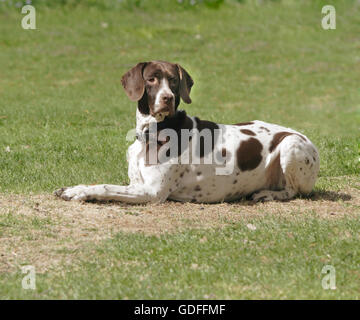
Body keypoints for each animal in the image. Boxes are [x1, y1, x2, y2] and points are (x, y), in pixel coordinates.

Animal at [54, 60, 320, 204]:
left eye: (173, 80)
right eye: (151, 79)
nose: (167, 98)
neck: (152, 132)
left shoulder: (151, 192)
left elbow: (105, 188)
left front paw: (79, 193)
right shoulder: (136, 183)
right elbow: (103, 183)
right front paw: (73, 189)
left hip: (290, 146)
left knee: (293, 191)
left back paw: (267, 194)